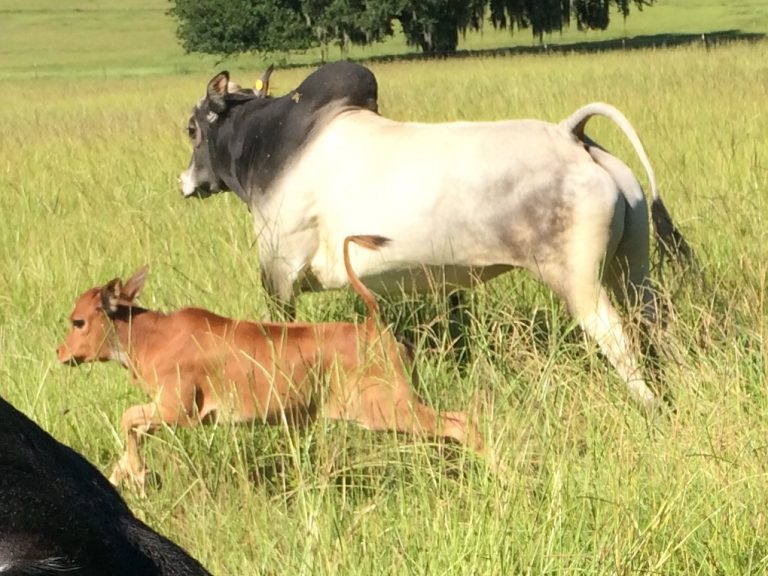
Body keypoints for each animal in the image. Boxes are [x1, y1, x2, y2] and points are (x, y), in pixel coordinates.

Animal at [57, 236, 484, 488]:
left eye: (78, 321)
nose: (61, 353)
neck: (151, 335)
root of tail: (374, 326)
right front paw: (126, 475)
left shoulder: (179, 411)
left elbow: (127, 417)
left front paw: (140, 473)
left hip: (387, 409)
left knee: (461, 422)